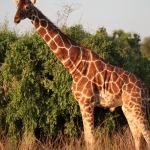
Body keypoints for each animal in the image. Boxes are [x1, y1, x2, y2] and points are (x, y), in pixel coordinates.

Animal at [13, 0, 150, 149]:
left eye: (27, 7)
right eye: (16, 6)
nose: (16, 19)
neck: (75, 65)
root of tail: (145, 87)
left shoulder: (87, 102)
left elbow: (91, 139)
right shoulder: (81, 103)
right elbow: (87, 138)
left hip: (137, 106)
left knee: (146, 134)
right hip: (128, 108)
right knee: (137, 136)